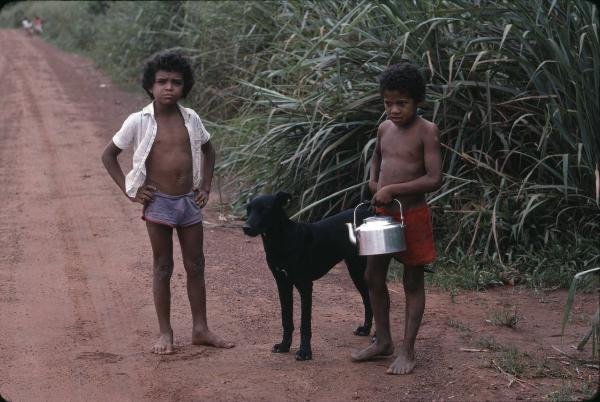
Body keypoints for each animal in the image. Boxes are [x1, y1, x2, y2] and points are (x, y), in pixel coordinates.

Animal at [243, 192, 372, 362]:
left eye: (265, 209)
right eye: (248, 209)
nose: (245, 228)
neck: (280, 241)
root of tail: (366, 209)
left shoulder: (305, 285)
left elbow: (304, 324)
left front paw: (305, 352)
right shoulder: (282, 284)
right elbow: (286, 319)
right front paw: (284, 346)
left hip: (360, 270)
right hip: (355, 271)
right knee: (367, 300)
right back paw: (366, 329)